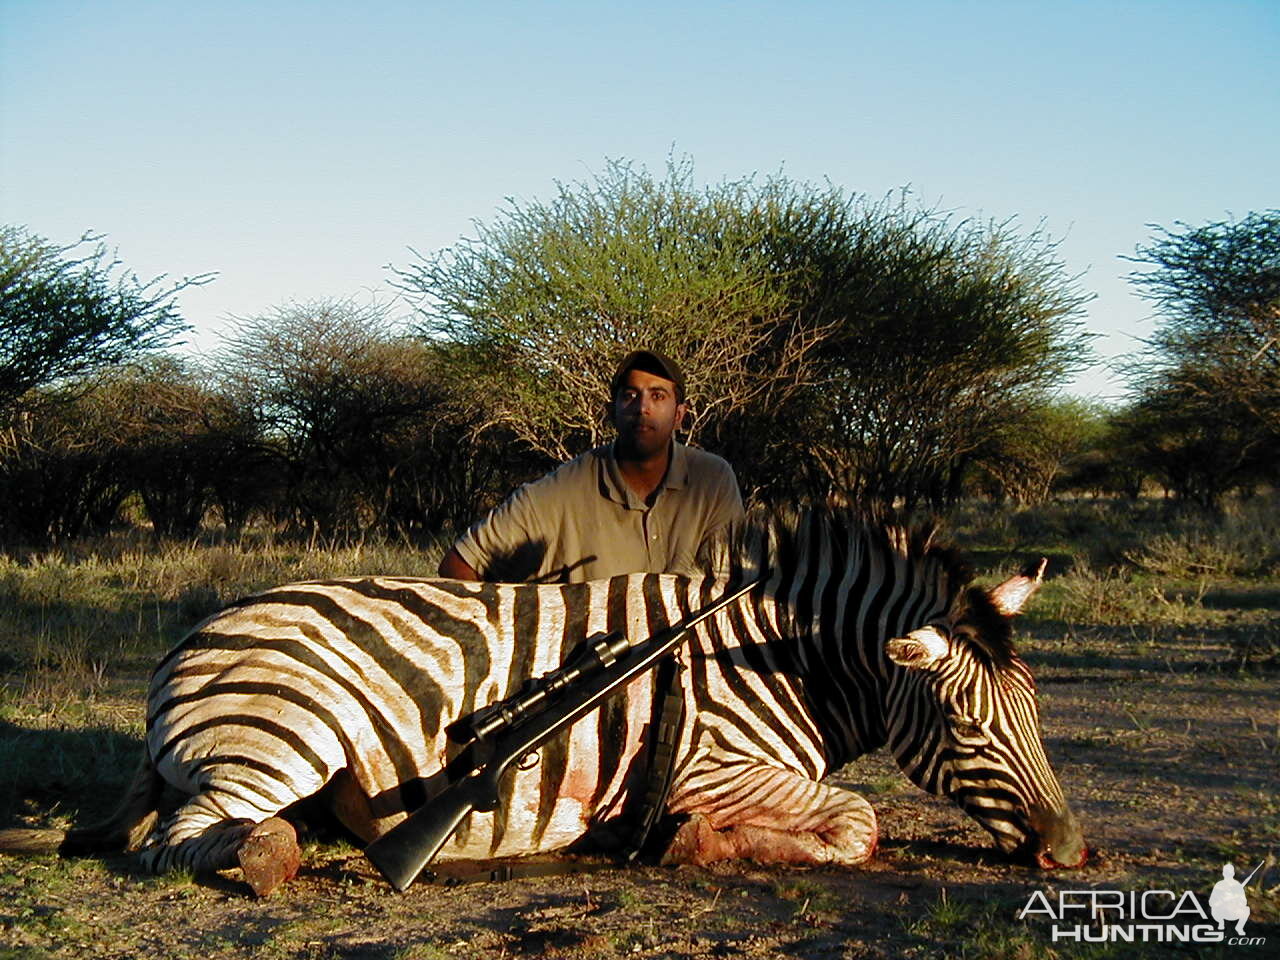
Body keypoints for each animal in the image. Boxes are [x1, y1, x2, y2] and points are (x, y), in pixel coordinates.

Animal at [0, 506, 1085, 901]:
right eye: (967, 724)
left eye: (1037, 711)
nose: (1071, 854)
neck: (786, 659)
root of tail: (184, 647)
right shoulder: (714, 766)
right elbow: (858, 822)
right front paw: (692, 844)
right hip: (283, 738)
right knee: (182, 842)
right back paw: (276, 857)